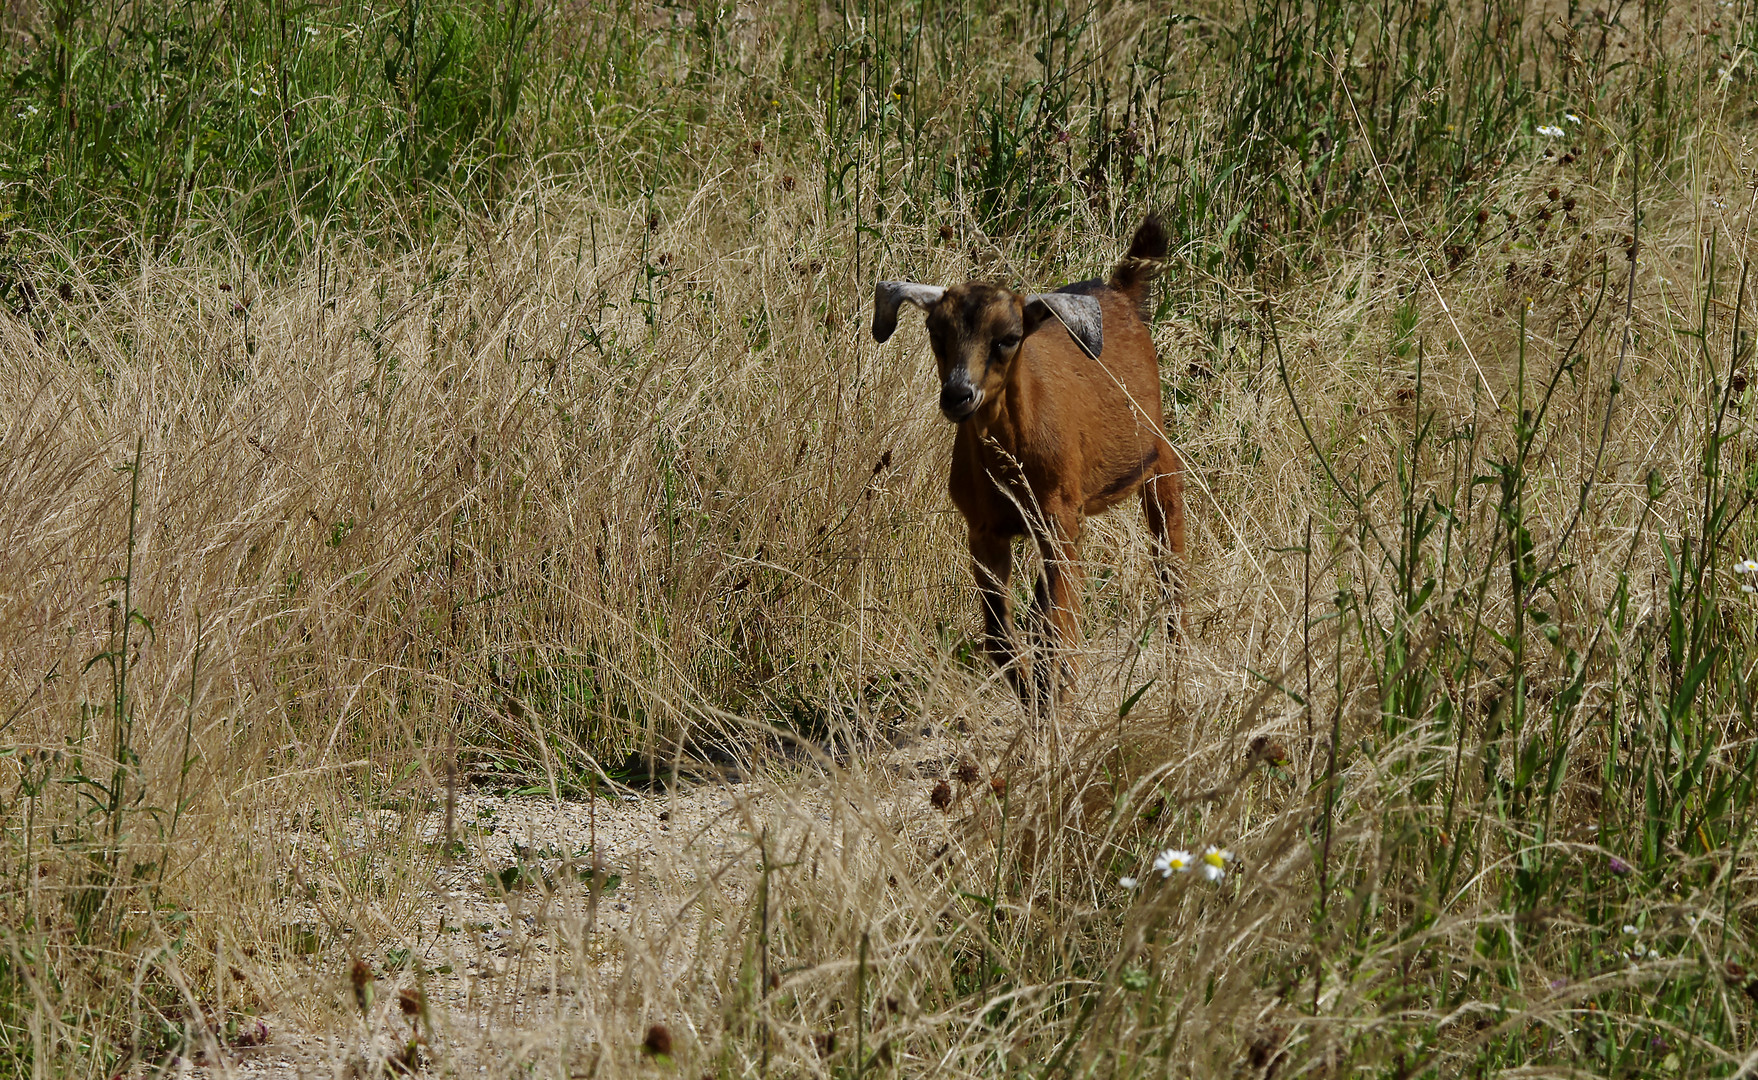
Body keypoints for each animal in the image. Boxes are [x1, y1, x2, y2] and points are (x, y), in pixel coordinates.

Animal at [871, 218, 1188, 707]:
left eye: (1008, 338)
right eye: (936, 334)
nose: (958, 395)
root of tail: (1120, 287)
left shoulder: (1060, 521)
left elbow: (1062, 631)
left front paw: (1058, 703)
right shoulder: (985, 530)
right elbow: (1002, 639)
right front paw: (1033, 699)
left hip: (1158, 463)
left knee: (1171, 573)